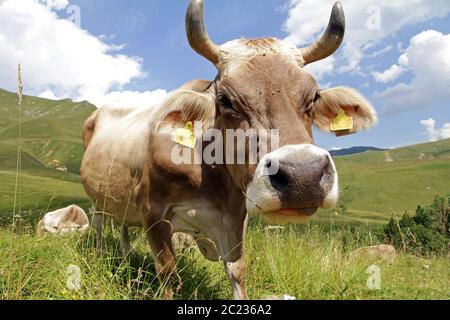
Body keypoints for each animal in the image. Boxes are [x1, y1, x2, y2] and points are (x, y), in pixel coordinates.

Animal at [80, 0, 376, 300]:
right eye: (225, 100)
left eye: (314, 97)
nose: (303, 177)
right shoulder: (152, 210)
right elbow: (168, 274)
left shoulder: (235, 216)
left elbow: (237, 270)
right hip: (97, 199)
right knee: (100, 223)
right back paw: (102, 253)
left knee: (122, 225)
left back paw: (126, 255)